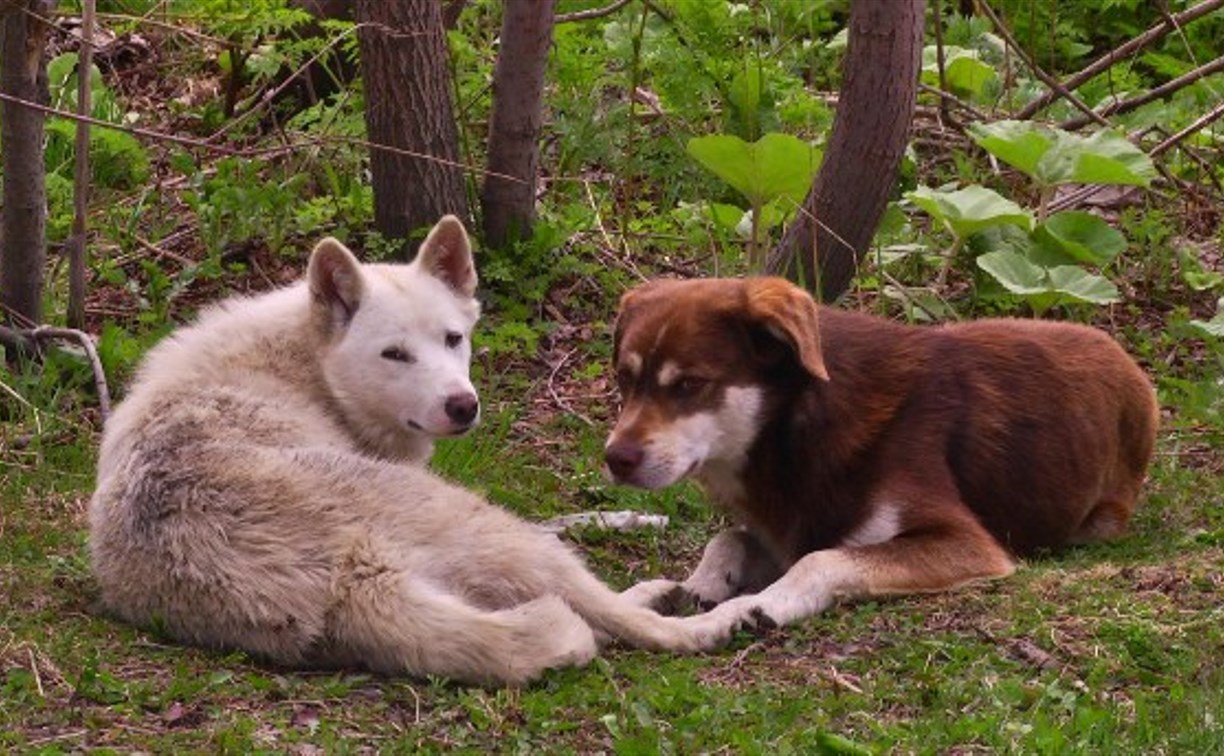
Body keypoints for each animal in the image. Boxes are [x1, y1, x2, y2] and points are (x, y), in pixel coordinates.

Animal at [93, 216, 724, 685]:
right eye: (394, 354)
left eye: (453, 339)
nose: (463, 405)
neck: (310, 369)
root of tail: (354, 583)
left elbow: (566, 521)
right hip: (486, 527)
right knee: (629, 622)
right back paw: (705, 617)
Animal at [607, 276, 1160, 641]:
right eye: (624, 378)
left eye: (689, 384)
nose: (615, 459)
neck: (798, 427)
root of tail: (1131, 365)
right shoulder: (795, 526)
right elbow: (730, 538)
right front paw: (683, 588)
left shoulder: (968, 545)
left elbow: (819, 560)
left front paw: (749, 607)